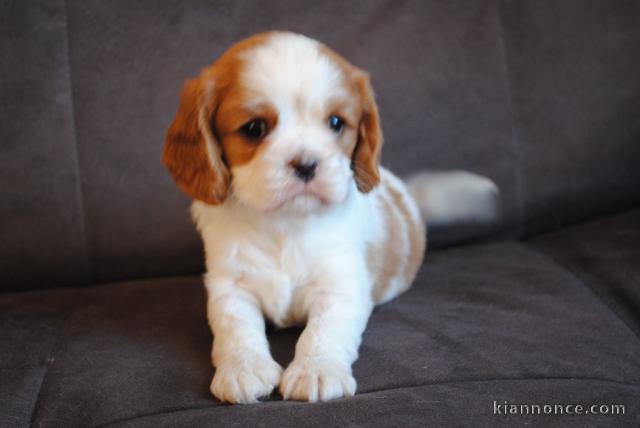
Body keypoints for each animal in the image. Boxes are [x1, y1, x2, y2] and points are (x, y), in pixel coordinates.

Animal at [162, 31, 498, 402]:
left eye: (336, 122)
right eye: (254, 128)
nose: (307, 164)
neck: (285, 222)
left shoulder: (341, 286)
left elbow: (323, 330)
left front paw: (316, 370)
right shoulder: (230, 287)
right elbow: (236, 327)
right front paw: (243, 368)